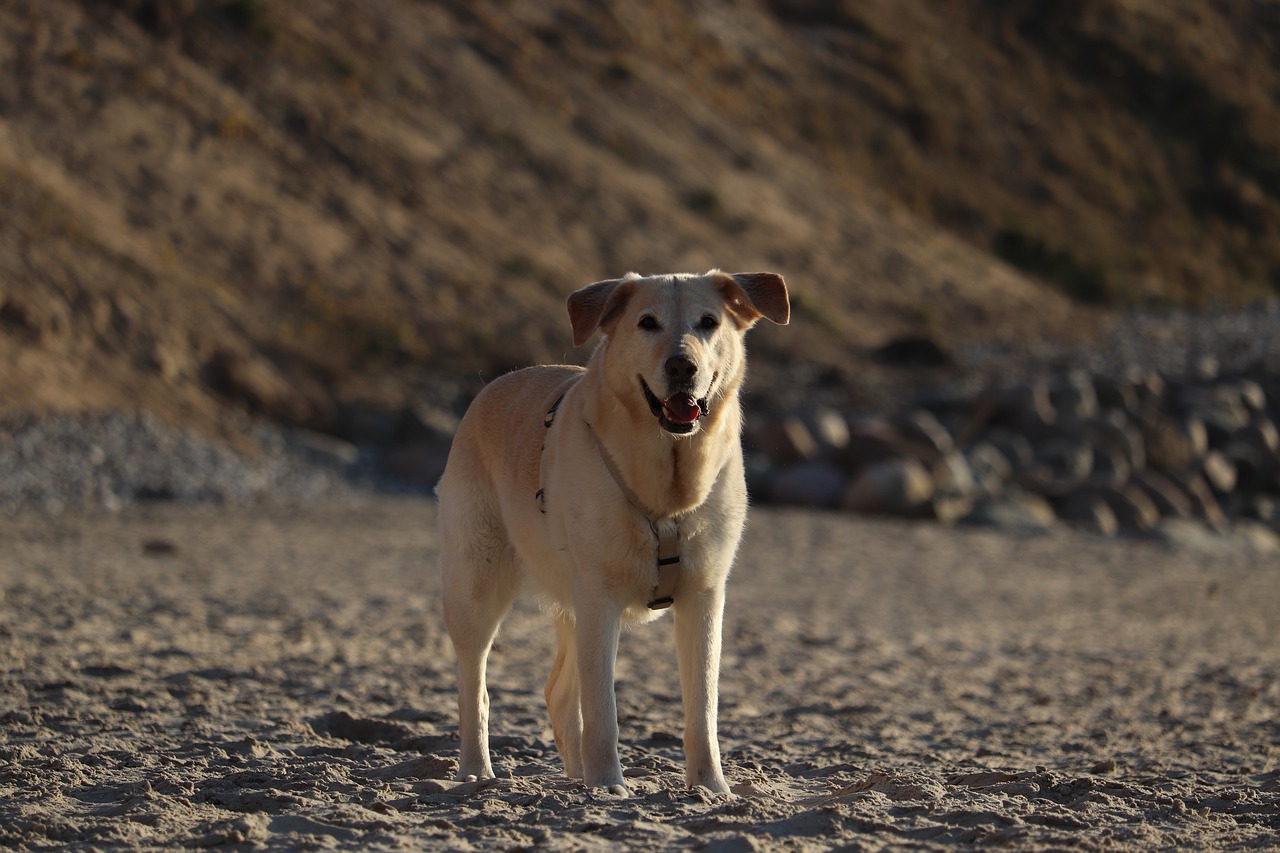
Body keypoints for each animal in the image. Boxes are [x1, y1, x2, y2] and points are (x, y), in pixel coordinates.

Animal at [435, 268, 783, 794]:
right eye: (646, 323)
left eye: (708, 322)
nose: (682, 366)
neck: (668, 482)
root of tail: (495, 383)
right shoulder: (599, 597)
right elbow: (603, 710)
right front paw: (607, 784)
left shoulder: (704, 596)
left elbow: (702, 707)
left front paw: (710, 787)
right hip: (479, 581)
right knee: (475, 684)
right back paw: (478, 769)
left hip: (571, 602)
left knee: (558, 692)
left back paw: (574, 775)